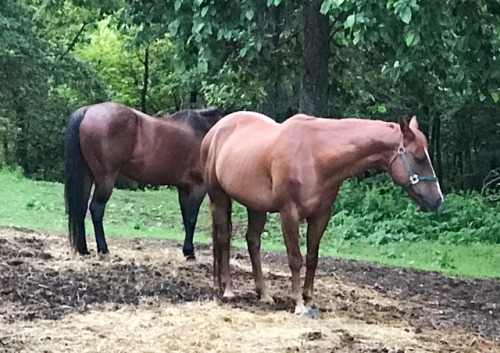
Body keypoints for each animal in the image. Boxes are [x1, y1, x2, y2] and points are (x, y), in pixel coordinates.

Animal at [64, 101, 221, 258]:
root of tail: (88, 110)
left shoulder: (183, 189)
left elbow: (186, 218)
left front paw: (186, 250)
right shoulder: (198, 187)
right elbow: (191, 218)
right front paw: (190, 253)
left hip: (87, 176)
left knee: (81, 208)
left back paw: (83, 249)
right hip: (105, 179)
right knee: (96, 208)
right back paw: (103, 249)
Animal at [201, 112, 444, 316]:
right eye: (419, 158)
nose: (437, 200)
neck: (315, 155)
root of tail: (216, 129)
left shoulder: (321, 216)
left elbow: (312, 257)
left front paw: (309, 300)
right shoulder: (289, 213)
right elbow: (295, 259)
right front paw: (299, 304)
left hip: (257, 207)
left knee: (253, 242)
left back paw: (264, 294)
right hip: (219, 198)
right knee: (224, 239)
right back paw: (228, 290)